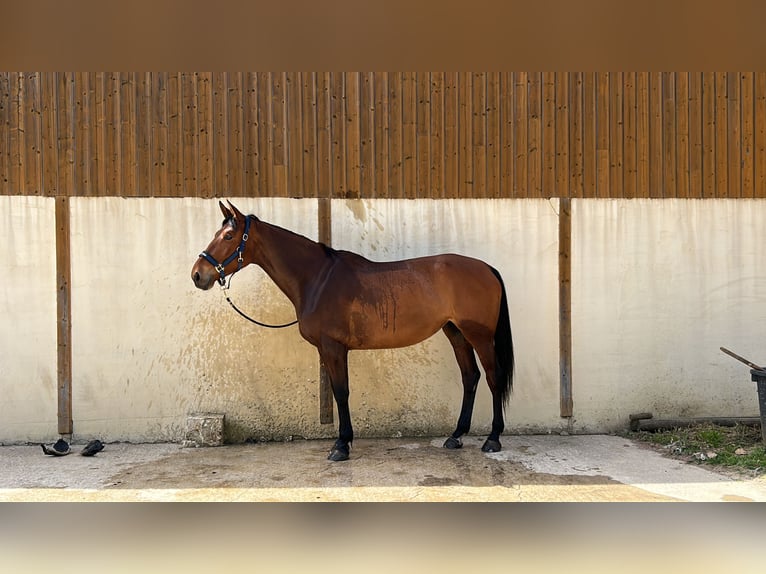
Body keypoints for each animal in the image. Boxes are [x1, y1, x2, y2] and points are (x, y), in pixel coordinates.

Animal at [191, 202, 516, 464]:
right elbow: (340, 393)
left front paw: (341, 445)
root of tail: (487, 268)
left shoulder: (333, 347)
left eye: (228, 236)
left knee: (493, 377)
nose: (198, 274)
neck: (318, 279)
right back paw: (456, 436)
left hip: (479, 335)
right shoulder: (328, 350)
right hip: (456, 333)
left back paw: (493, 439)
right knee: (470, 377)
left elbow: (341, 392)